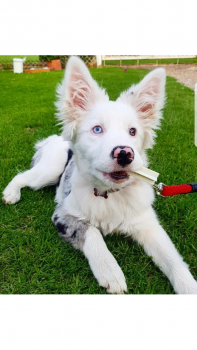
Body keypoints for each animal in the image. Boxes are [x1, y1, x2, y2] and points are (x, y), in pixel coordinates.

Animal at [2, 56, 197, 292]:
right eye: (97, 129)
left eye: (133, 131)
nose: (125, 155)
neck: (109, 194)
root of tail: (54, 138)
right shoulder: (63, 214)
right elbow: (92, 232)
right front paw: (110, 271)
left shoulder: (148, 223)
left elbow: (172, 257)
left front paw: (189, 286)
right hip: (49, 170)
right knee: (22, 176)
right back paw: (11, 194)